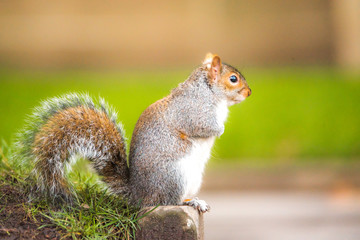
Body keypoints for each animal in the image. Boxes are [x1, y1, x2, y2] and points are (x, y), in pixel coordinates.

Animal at [14, 53, 250, 213]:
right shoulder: (193, 111)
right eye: (233, 79)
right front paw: (220, 129)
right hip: (174, 176)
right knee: (167, 201)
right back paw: (189, 201)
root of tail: (138, 195)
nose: (249, 92)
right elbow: (203, 126)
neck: (209, 91)